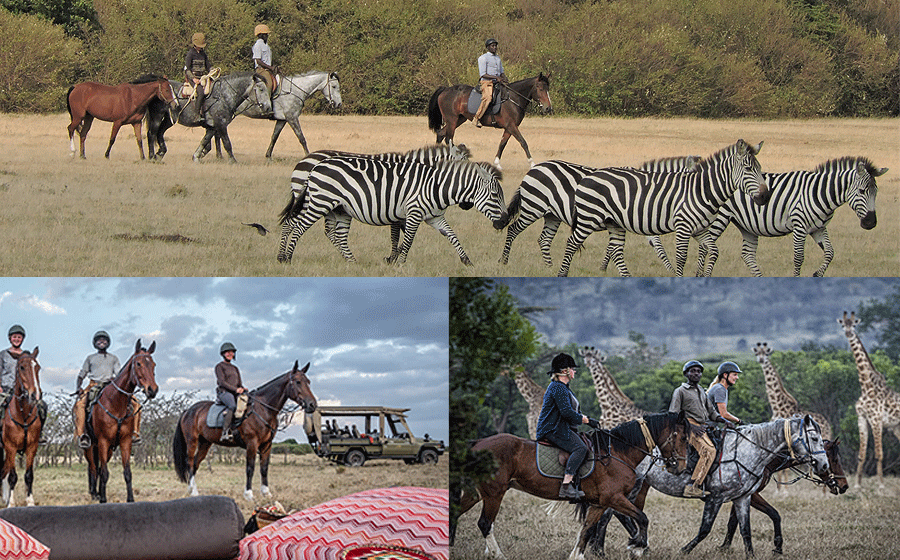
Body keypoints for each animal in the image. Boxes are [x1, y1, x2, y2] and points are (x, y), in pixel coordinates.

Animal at [0, 348, 43, 507]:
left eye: (37, 367)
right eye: (22, 367)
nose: (35, 395)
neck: (23, 414)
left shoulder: (32, 447)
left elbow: (29, 475)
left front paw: (30, 501)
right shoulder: (10, 447)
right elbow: (13, 476)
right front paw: (11, 503)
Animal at [84, 339, 158, 503]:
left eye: (153, 364)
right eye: (138, 363)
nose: (152, 390)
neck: (115, 402)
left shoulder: (125, 441)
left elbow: (127, 472)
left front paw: (130, 499)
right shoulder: (103, 441)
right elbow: (104, 473)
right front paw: (103, 500)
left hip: (108, 449)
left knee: (97, 468)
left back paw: (97, 492)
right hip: (91, 446)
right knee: (92, 468)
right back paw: (93, 493)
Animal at [172, 361, 316, 501]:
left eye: (309, 382)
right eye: (298, 382)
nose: (312, 404)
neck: (262, 409)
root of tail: (188, 410)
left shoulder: (267, 444)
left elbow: (264, 468)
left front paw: (266, 493)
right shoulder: (252, 443)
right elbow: (250, 468)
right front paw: (249, 494)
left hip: (205, 443)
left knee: (195, 463)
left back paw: (192, 490)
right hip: (192, 441)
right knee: (190, 462)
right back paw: (194, 492)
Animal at [454, 412, 689, 559]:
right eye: (684, 438)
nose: (680, 468)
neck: (619, 452)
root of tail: (478, 443)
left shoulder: (600, 503)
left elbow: (586, 530)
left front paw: (576, 556)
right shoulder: (614, 498)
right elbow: (642, 518)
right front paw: (637, 547)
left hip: (476, 493)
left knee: (456, 512)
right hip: (494, 493)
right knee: (485, 524)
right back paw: (498, 555)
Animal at [579, 415, 830, 559]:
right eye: (814, 438)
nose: (824, 466)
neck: (749, 451)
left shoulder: (743, 498)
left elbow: (746, 529)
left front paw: (752, 554)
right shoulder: (715, 498)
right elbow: (705, 529)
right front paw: (684, 550)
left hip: (636, 488)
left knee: (616, 514)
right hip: (627, 489)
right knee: (609, 515)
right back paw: (601, 550)